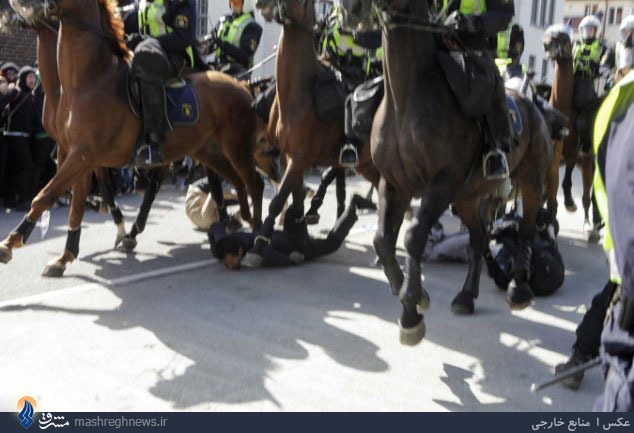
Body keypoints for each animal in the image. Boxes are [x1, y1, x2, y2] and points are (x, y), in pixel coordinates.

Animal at [0, 0, 262, 276]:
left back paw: (256, 237)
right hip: (209, 152)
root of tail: (242, 86)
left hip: (237, 149)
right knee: (234, 182)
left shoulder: (83, 155)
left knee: (253, 183)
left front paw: (11, 242)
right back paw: (238, 219)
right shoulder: (74, 154)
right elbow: (76, 203)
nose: (8, 9)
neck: (88, 79)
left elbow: (46, 195)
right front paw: (65, 255)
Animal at [242, 0, 378, 266]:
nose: (262, 5)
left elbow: (278, 201)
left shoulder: (299, 159)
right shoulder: (287, 158)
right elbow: (294, 201)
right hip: (367, 164)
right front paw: (300, 241)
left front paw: (258, 246)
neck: (299, 88)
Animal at [540, 23, 600, 240]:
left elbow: (567, 180)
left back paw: (590, 225)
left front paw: (569, 202)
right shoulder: (553, 159)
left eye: (563, 37)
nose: (546, 44)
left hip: (588, 163)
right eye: (549, 33)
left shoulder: (572, 153)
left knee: (587, 197)